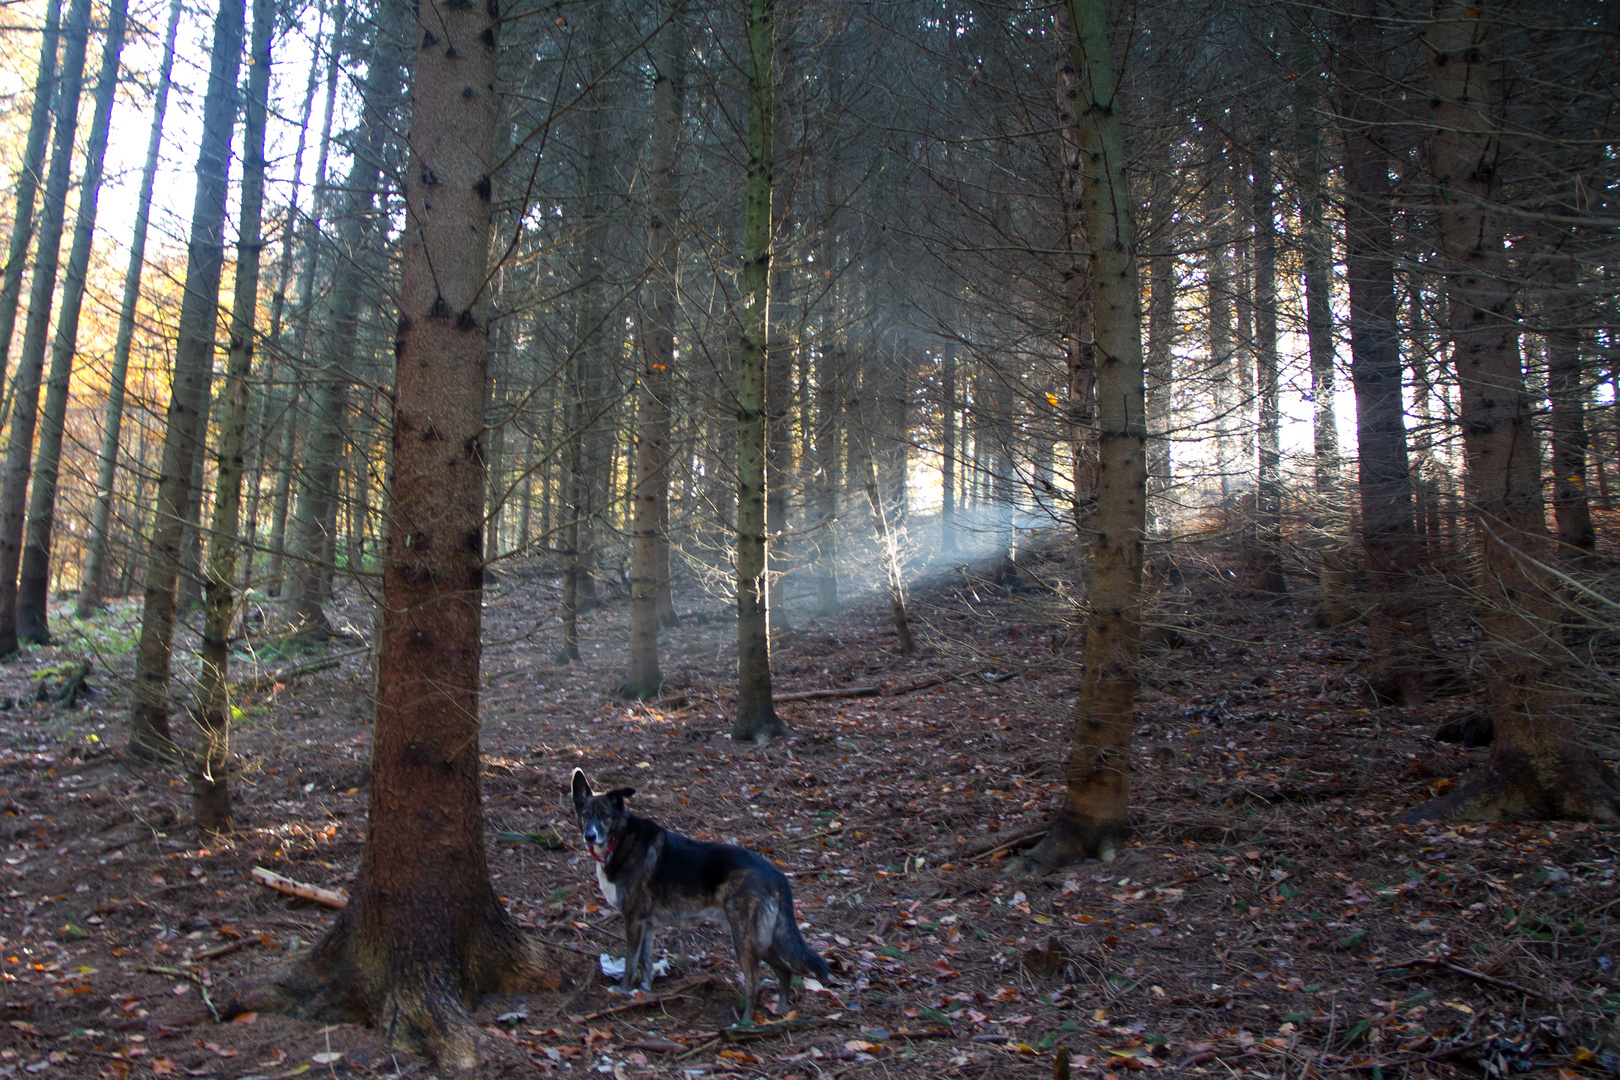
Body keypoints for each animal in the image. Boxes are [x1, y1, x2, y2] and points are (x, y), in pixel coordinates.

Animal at [573, 773, 835, 1016]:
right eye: (585, 815)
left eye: (605, 816)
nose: (590, 835)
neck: (618, 839)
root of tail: (777, 875)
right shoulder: (647, 924)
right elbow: (646, 962)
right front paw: (644, 991)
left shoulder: (632, 920)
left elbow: (630, 961)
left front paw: (623, 990)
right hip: (762, 937)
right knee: (784, 970)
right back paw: (781, 1010)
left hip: (744, 938)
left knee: (755, 986)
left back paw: (745, 1023)